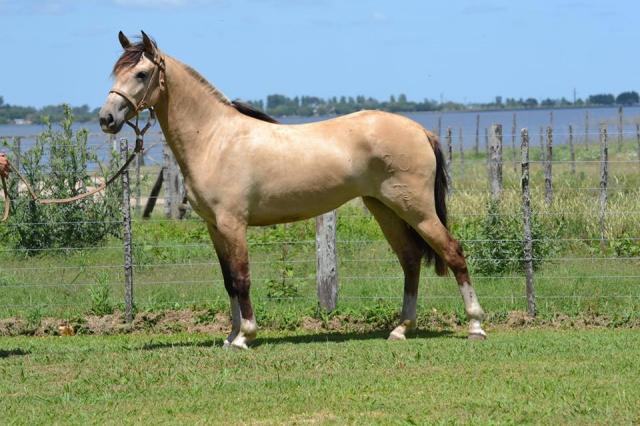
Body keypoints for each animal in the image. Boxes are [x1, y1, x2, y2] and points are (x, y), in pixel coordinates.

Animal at [99, 31, 486, 349]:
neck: (215, 139)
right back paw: (401, 329)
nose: (106, 118)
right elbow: (228, 281)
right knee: (410, 260)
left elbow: (242, 277)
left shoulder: (232, 224)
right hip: (385, 208)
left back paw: (475, 326)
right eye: (115, 73)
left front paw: (245, 336)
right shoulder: (214, 227)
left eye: (141, 74)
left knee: (453, 252)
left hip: (415, 209)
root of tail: (420, 130)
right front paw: (230, 335)